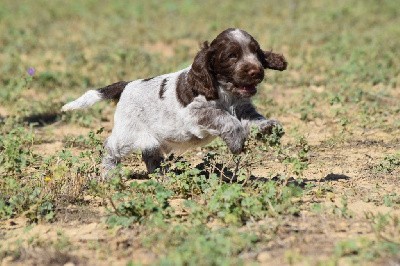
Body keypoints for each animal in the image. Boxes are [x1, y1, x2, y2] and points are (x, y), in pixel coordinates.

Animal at [61, 28, 288, 178]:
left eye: (256, 52)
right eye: (232, 56)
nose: (257, 71)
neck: (225, 91)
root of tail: (127, 85)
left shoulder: (242, 108)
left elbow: (253, 118)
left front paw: (268, 127)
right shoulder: (196, 113)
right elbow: (224, 118)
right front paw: (237, 141)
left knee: (150, 154)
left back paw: (161, 175)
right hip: (127, 134)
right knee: (110, 148)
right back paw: (109, 175)